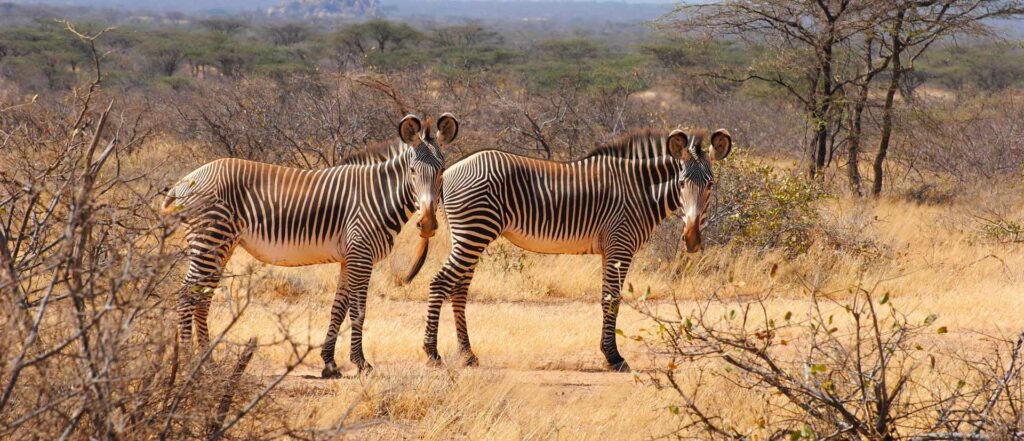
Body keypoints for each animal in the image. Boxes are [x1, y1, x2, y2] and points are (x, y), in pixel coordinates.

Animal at [162, 114, 459, 378]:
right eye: (412, 171)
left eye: (442, 170)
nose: (428, 225)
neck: (377, 197)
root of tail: (183, 182)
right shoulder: (361, 255)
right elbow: (358, 311)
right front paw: (361, 363)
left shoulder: (348, 258)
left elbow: (338, 308)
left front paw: (329, 363)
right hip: (209, 239)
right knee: (187, 294)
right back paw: (188, 362)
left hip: (220, 245)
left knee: (202, 297)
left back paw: (207, 363)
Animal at [418, 127, 731, 372]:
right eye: (681, 183)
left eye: (710, 185)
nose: (692, 239)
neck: (640, 190)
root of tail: (449, 171)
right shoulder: (620, 245)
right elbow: (612, 299)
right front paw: (614, 357)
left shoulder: (611, 248)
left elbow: (607, 299)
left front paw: (609, 353)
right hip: (474, 232)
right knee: (440, 283)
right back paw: (432, 353)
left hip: (470, 236)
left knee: (458, 290)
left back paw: (467, 354)